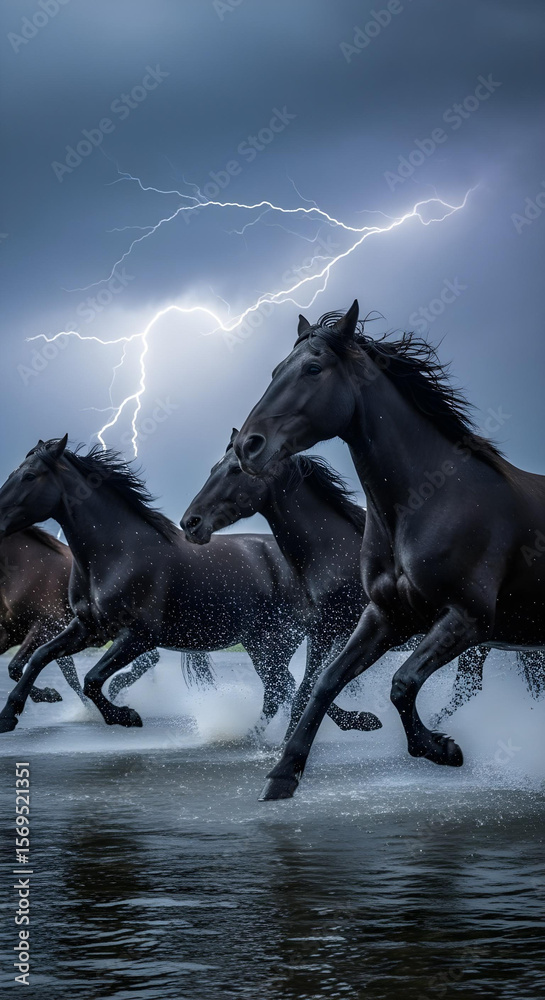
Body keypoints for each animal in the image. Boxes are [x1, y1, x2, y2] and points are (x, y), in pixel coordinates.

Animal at [0, 438, 316, 732]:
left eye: (30, 475)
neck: (117, 554)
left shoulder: (137, 636)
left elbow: (92, 679)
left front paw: (124, 715)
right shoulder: (87, 628)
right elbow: (38, 658)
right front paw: (9, 715)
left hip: (274, 642)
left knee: (281, 689)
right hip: (260, 644)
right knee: (281, 688)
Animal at [234, 301, 545, 799]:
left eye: (313, 369)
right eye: (276, 370)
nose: (249, 446)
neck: (429, 501)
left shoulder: (467, 618)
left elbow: (402, 683)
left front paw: (441, 749)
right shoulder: (385, 616)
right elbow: (325, 682)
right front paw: (283, 775)